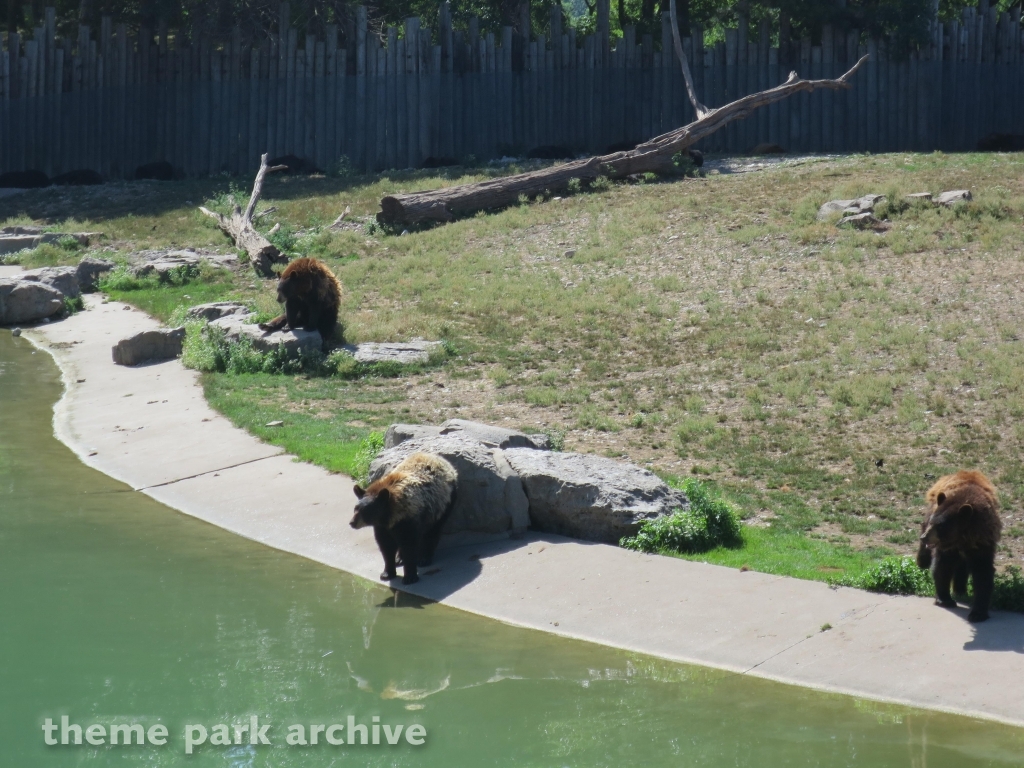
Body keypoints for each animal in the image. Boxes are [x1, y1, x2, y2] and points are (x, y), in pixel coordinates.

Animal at [350, 454, 458, 585]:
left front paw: (410, 577)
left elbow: (409, 545)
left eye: (366, 510)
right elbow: (386, 546)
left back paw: (424, 558)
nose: (352, 523)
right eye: (356, 508)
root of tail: (440, 459)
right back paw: (399, 559)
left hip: (442, 505)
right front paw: (387, 573)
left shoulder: (409, 519)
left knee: (433, 531)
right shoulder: (382, 527)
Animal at [921, 468, 999, 626]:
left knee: (963, 566)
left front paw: (978, 613)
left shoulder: (982, 541)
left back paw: (960, 589)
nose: (925, 537)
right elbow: (942, 566)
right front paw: (944, 599)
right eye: (933, 522)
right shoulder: (946, 547)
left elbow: (983, 572)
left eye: (941, 526)